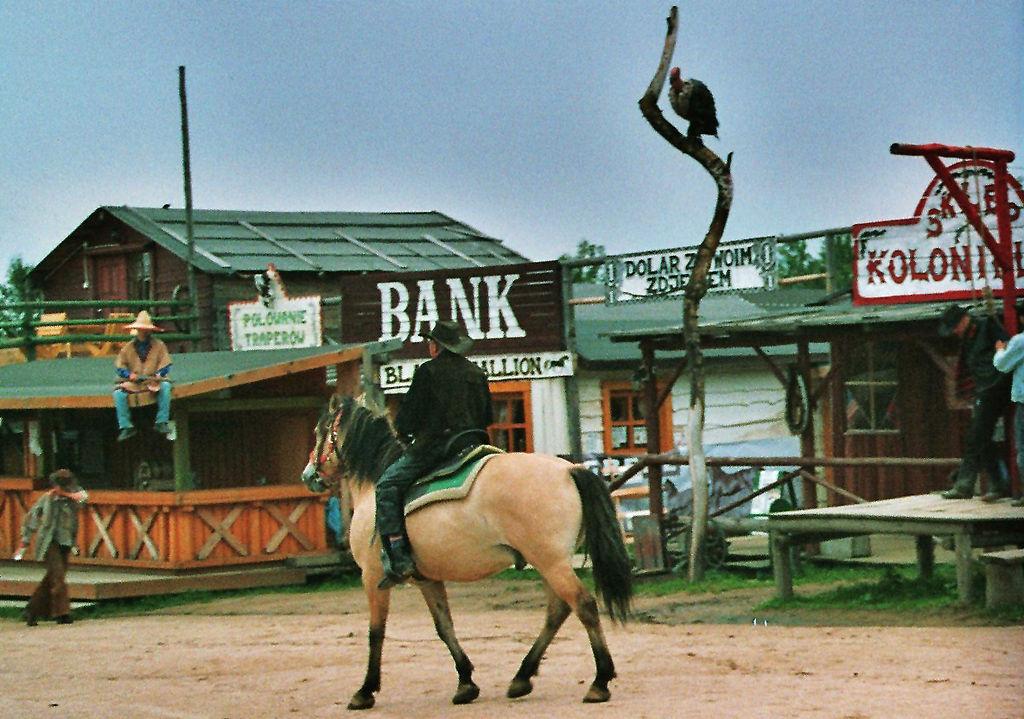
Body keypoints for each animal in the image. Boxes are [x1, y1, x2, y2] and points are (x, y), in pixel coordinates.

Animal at [299, 397, 630, 712]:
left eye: (318, 431)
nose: (308, 475)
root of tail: (569, 469)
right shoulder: (427, 580)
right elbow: (445, 627)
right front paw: (465, 683)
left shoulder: (371, 577)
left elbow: (375, 632)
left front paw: (365, 691)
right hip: (548, 562)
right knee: (558, 611)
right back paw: (522, 677)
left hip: (551, 563)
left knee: (583, 605)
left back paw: (599, 681)